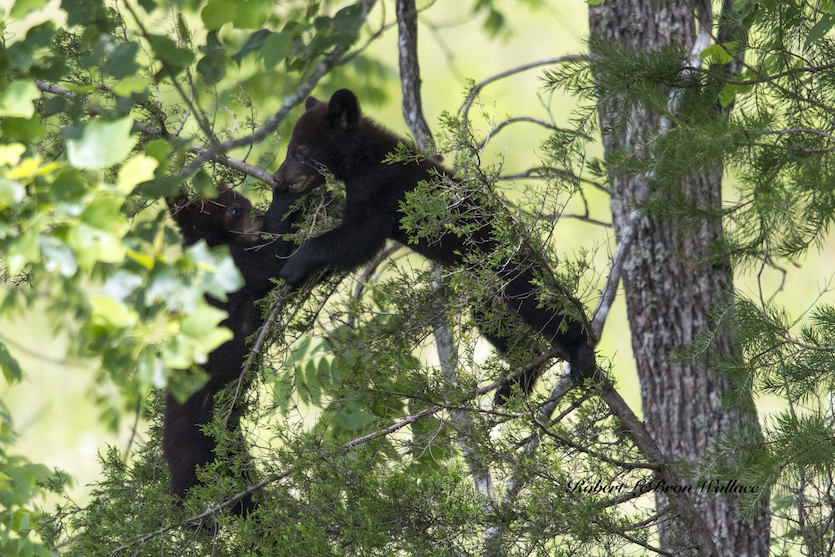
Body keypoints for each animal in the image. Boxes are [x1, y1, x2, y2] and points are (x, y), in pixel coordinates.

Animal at [163, 185, 300, 516]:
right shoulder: (230, 267)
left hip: (227, 438)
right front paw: (286, 199)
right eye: (236, 210)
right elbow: (269, 262)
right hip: (190, 439)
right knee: (187, 484)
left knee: (237, 475)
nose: (259, 215)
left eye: (247, 203)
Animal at [274, 88, 596, 400]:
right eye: (290, 149)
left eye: (299, 151)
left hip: (509, 268)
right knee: (501, 328)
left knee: (538, 305)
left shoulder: (378, 191)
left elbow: (358, 239)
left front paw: (294, 265)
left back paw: (579, 353)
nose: (277, 178)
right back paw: (515, 385)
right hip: (485, 291)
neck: (363, 159)